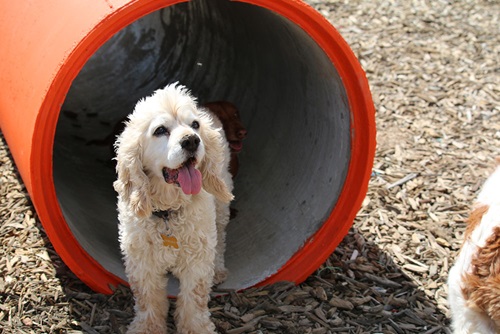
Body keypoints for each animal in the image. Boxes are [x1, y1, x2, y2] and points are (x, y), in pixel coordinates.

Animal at [115, 83, 234, 334]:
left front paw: (197, 328)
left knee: (220, 240)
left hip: (221, 204)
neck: (168, 211)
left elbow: (194, 298)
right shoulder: (142, 261)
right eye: (160, 130)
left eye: (195, 125)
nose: (192, 141)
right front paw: (147, 328)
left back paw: (219, 269)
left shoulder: (197, 258)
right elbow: (147, 299)